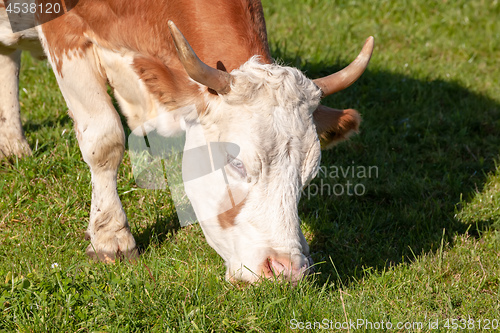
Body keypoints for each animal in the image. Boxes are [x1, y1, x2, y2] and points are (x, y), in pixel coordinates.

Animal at [0, 0, 372, 282]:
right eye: (236, 163)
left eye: (309, 176)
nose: (287, 270)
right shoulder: (63, 31)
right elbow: (105, 139)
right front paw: (111, 237)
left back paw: (12, 144)